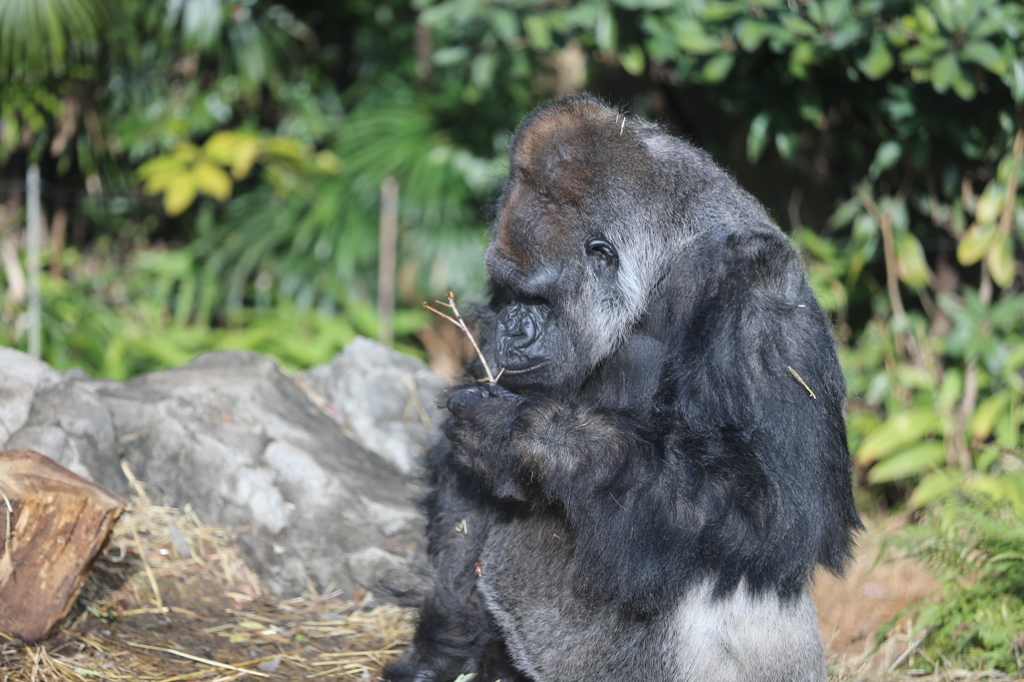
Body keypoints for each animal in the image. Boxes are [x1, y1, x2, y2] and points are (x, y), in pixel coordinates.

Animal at [385, 94, 864, 679]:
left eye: (538, 299)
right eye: (506, 291)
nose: (510, 329)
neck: (662, 261)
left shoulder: (761, 292)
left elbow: (778, 508)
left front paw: (525, 439)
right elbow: (463, 502)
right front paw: (444, 638)